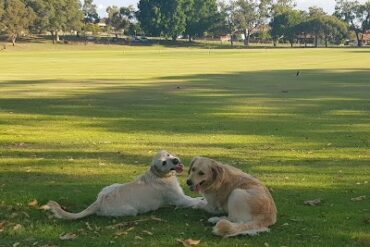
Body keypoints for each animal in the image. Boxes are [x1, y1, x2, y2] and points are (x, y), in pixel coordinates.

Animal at [47, 150, 202, 219]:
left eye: (169, 155)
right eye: (164, 163)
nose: (175, 160)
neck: (160, 176)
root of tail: (99, 201)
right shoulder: (180, 199)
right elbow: (193, 200)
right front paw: (201, 201)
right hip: (130, 210)